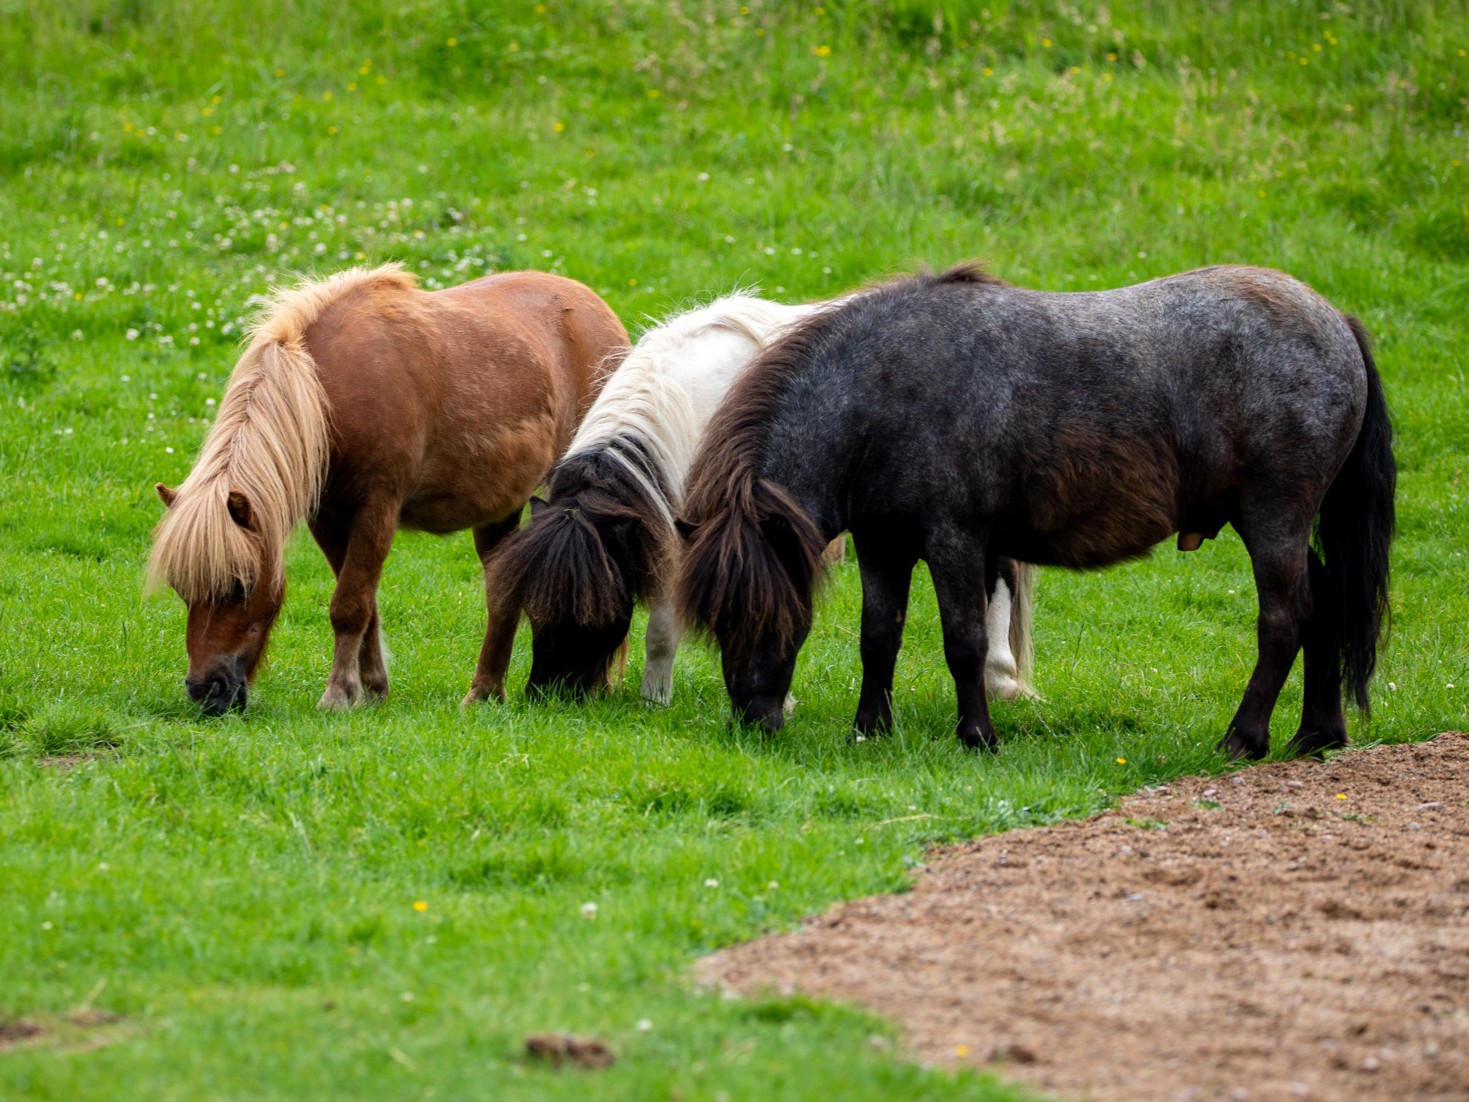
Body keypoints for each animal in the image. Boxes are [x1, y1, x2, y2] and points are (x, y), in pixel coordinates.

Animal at [148, 264, 629, 715]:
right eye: (181, 589)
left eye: (240, 586)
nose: (205, 691)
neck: (326, 391)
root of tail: (598, 311)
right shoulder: (328, 519)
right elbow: (365, 605)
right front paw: (373, 689)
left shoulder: (376, 510)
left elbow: (349, 607)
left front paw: (338, 695)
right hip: (500, 514)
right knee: (502, 596)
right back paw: (485, 692)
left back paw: (596, 683)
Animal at [486, 292, 1040, 704]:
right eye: (531, 607)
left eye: (589, 612)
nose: (543, 696)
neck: (690, 405)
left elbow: (667, 626)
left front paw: (655, 700)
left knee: (1001, 573)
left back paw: (1000, 679)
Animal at [676, 264, 1394, 759]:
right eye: (716, 620)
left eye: (767, 611)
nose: (752, 718)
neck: (881, 395)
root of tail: (1334, 318)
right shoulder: (884, 545)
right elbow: (877, 637)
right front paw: (868, 731)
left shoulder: (954, 542)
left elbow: (963, 641)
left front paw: (977, 735)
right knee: (1324, 603)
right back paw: (1317, 733)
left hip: (1272, 518)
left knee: (1282, 621)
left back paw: (1243, 737)